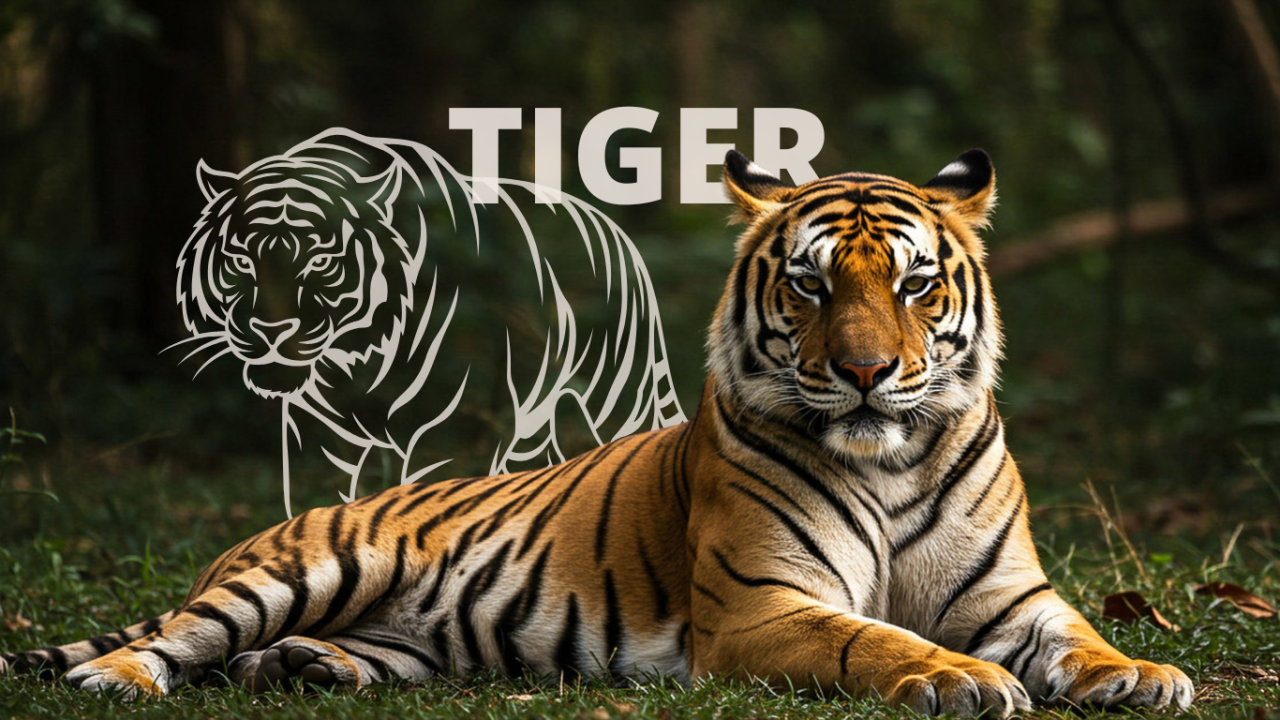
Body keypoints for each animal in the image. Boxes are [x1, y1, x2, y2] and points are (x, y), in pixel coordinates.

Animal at [172, 128, 684, 515]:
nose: (271, 332)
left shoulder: (444, 431)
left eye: (320, 261)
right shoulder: (314, 433)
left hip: (615, 402)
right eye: (241, 260)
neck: (355, 358)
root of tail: (622, 239)